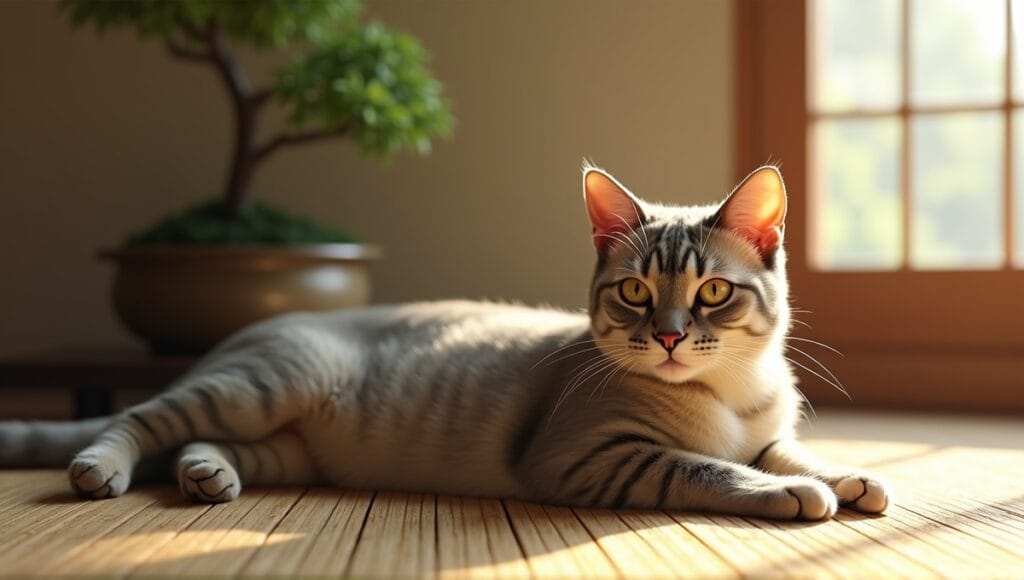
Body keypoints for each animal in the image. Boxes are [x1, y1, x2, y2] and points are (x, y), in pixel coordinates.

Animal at [0, 164, 888, 522]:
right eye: (636, 294)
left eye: (711, 293)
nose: (669, 339)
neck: (733, 394)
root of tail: (251, 331)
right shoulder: (591, 456)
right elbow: (712, 468)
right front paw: (793, 494)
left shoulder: (766, 433)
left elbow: (792, 453)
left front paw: (849, 479)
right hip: (259, 386)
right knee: (139, 421)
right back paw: (101, 470)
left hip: (285, 447)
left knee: (195, 446)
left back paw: (208, 479)